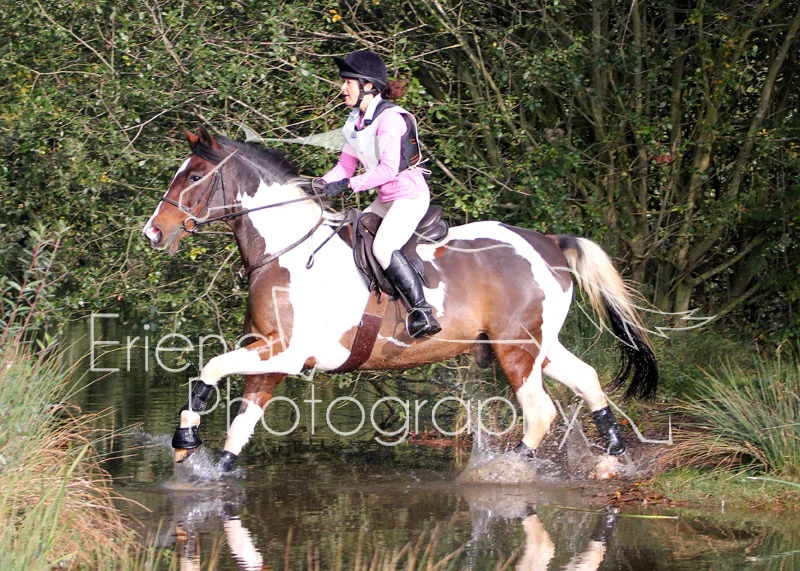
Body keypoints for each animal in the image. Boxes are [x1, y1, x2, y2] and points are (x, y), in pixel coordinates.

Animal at [143, 126, 658, 474]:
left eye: (193, 176)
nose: (153, 234)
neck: (283, 250)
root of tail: (549, 242)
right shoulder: (269, 354)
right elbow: (241, 426)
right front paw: (208, 464)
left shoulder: (286, 352)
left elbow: (210, 368)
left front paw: (185, 436)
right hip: (538, 345)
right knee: (588, 379)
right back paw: (614, 458)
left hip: (516, 349)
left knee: (539, 413)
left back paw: (511, 470)